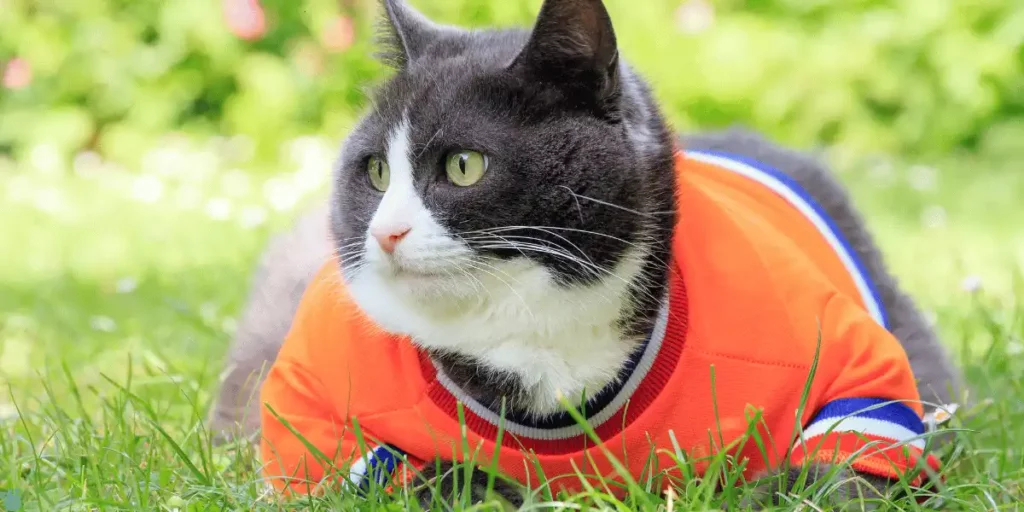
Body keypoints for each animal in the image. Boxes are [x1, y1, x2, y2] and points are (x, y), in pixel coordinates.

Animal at [209, 0, 966, 505]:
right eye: (373, 171)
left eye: (462, 166)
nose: (385, 232)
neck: (535, 330)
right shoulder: (314, 421)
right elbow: (387, 475)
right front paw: (483, 487)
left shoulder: (850, 380)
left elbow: (846, 466)